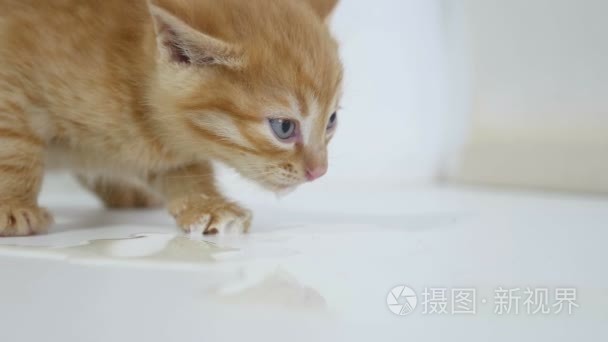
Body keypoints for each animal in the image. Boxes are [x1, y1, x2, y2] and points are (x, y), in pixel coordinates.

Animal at [0, 0, 342, 235]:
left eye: (332, 120)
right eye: (283, 127)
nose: (319, 171)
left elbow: (185, 167)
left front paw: (208, 204)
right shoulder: (11, 80)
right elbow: (14, 147)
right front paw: (13, 207)